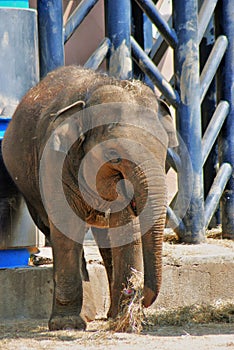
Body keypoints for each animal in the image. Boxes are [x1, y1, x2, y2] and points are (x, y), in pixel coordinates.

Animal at [1, 66, 177, 330]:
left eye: (164, 152)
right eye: (114, 154)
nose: (139, 294)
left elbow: (124, 227)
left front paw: (124, 323)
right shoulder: (55, 162)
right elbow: (66, 226)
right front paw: (67, 325)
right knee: (54, 230)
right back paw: (83, 316)